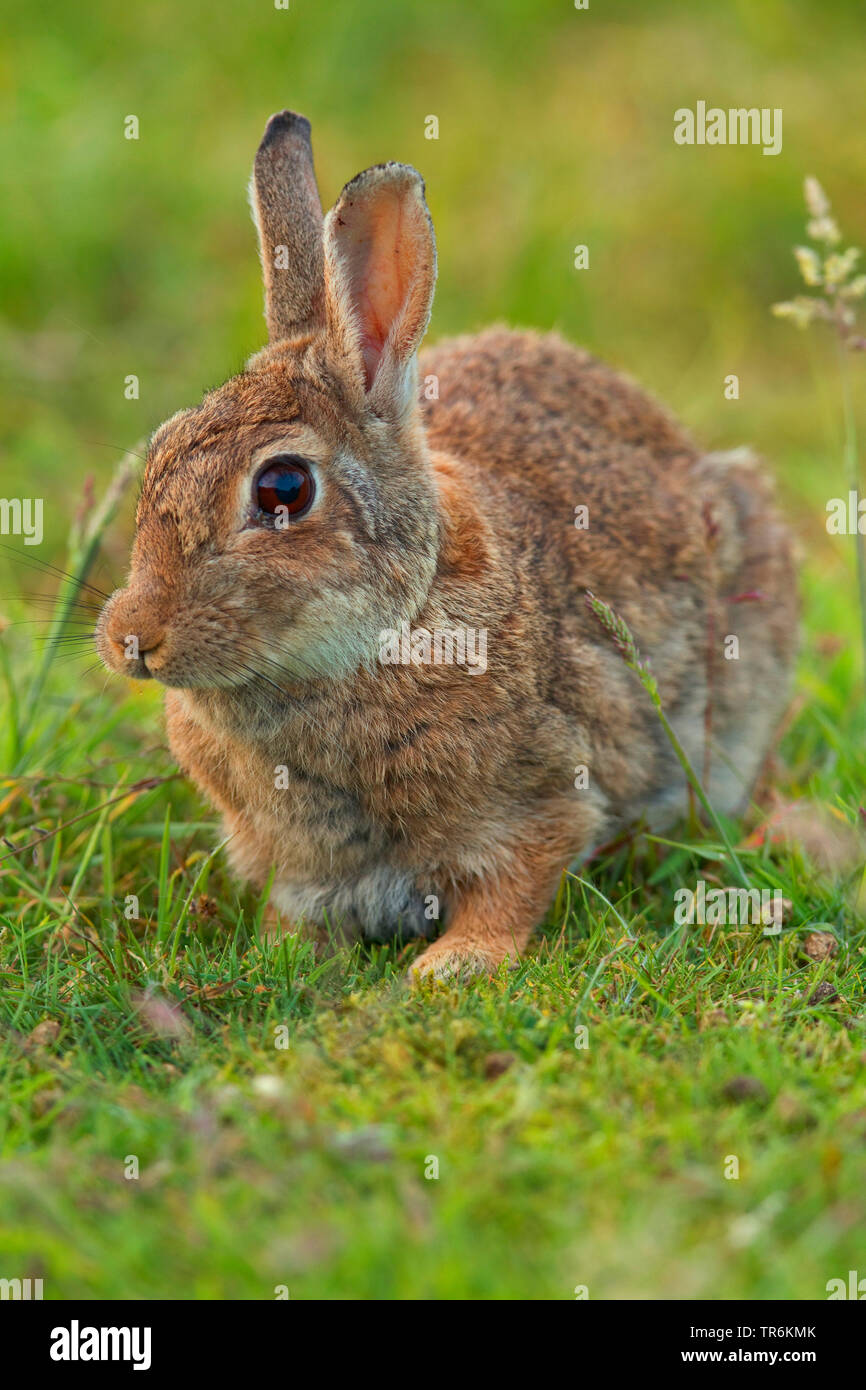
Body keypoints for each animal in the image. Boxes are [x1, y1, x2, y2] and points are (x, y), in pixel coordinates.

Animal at [96, 111, 800, 978]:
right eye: (159, 450)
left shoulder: (546, 795)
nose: (132, 639)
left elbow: (517, 882)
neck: (395, 625)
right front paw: (282, 957)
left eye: (283, 489)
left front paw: (452, 968)